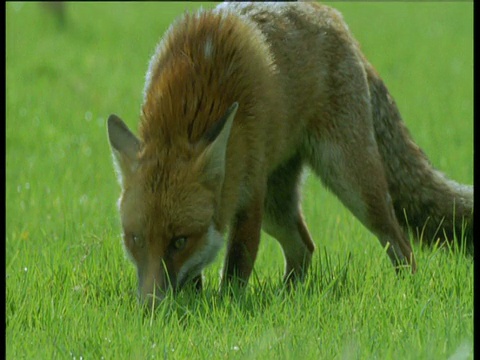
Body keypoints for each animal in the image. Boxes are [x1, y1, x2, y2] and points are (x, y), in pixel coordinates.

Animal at [106, 2, 472, 306]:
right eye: (135, 238)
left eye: (179, 241)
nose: (150, 307)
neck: (193, 99)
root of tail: (334, 17)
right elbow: (196, 273)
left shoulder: (249, 196)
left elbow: (235, 271)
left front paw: (227, 310)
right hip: (277, 206)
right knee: (304, 248)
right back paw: (288, 298)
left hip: (352, 186)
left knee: (401, 243)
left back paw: (407, 292)